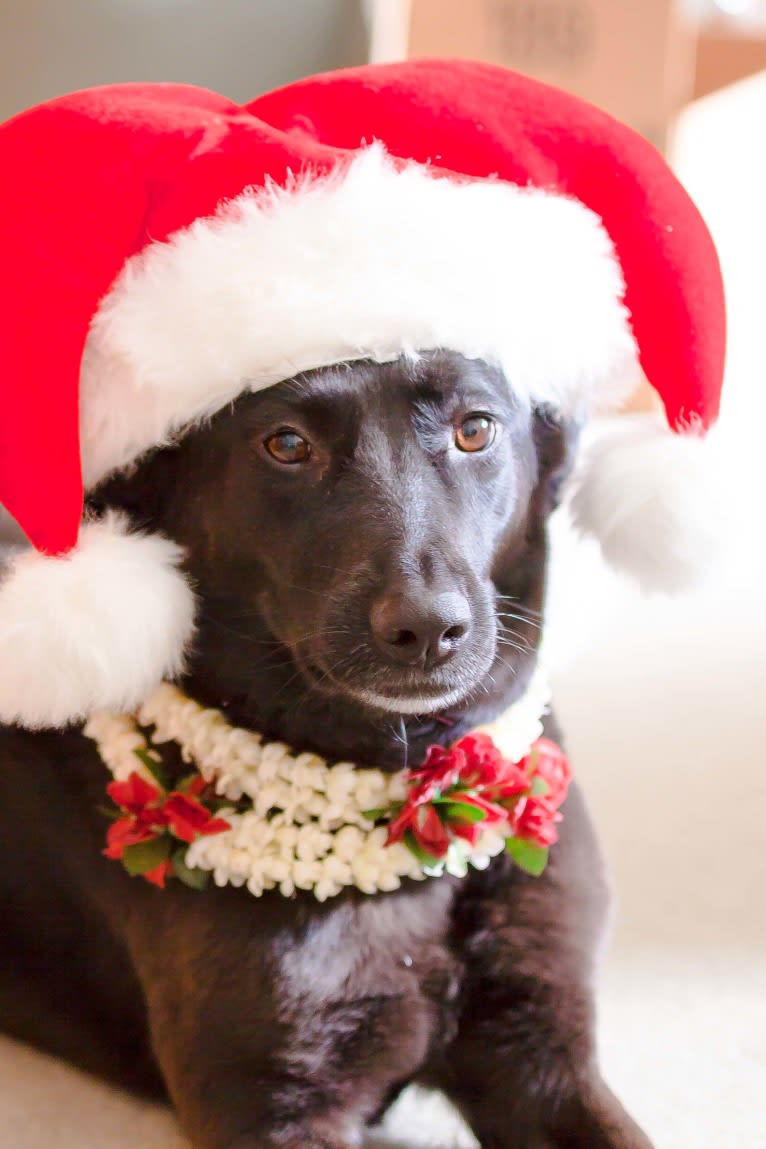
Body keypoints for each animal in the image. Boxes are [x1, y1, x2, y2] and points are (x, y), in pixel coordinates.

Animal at [0, 351, 652, 1149]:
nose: (427, 628)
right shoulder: (270, 1099)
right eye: (286, 444)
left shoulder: (541, 1052)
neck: (409, 796)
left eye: (475, 429)